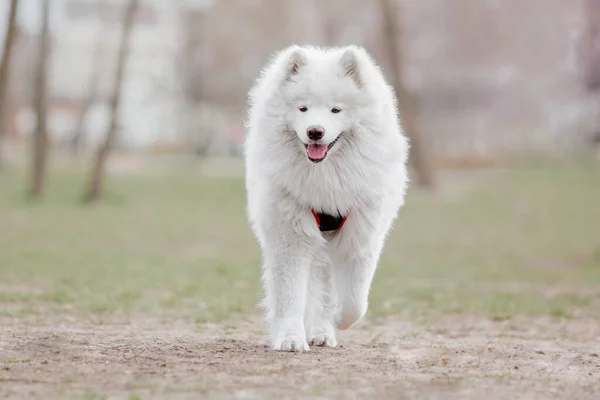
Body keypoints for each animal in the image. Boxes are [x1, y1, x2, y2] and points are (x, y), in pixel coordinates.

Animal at [244, 44, 408, 350]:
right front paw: (291, 338)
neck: (325, 176)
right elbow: (291, 297)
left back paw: (323, 330)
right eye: (303, 108)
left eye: (336, 109)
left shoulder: (361, 237)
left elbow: (355, 301)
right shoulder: (291, 237)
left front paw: (338, 319)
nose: (315, 131)